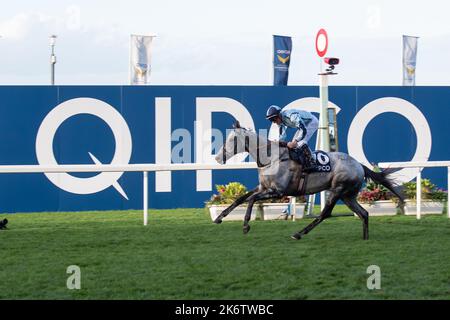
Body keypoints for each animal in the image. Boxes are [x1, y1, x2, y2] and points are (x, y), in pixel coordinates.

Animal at [213, 122, 402, 240]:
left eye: (233, 139)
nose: (217, 158)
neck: (271, 158)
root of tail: (359, 165)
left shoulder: (278, 191)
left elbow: (251, 200)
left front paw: (245, 226)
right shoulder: (263, 187)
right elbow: (240, 199)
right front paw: (219, 218)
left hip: (338, 190)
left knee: (325, 213)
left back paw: (298, 233)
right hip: (348, 196)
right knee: (364, 213)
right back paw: (365, 238)